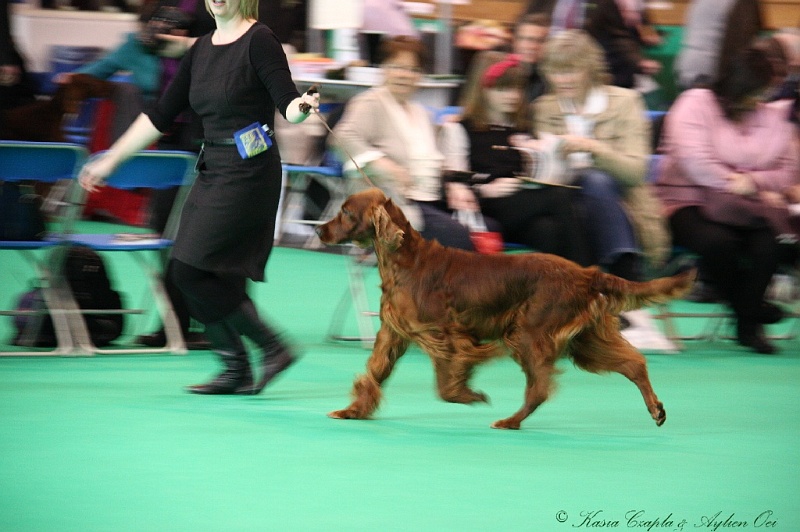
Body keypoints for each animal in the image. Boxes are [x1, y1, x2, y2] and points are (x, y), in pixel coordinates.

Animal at [318, 189, 692, 430]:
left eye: (346, 212)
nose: (318, 230)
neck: (405, 260)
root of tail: (585, 272)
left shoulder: (443, 334)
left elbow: (446, 384)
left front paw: (469, 395)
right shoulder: (393, 334)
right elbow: (374, 374)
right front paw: (352, 411)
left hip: (528, 333)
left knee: (540, 388)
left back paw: (510, 421)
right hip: (584, 341)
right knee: (633, 364)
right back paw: (656, 409)